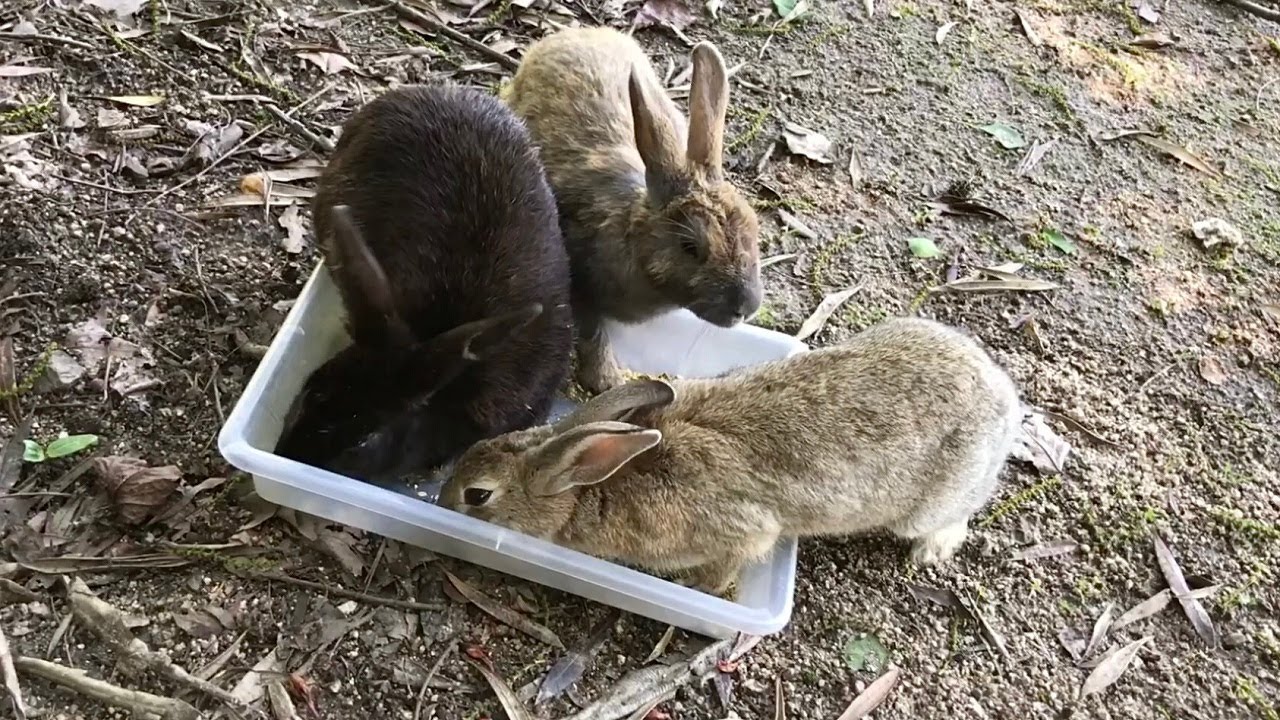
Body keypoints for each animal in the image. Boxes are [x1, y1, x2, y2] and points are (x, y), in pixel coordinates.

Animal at [438, 318, 1023, 597]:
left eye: (478, 495)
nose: (442, 502)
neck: (589, 488)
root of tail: (1004, 395)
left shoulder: (740, 533)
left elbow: (729, 565)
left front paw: (696, 588)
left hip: (935, 499)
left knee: (954, 515)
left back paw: (932, 549)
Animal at [500, 28, 763, 394]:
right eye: (690, 247)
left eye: (754, 230)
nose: (746, 307)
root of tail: (572, 34)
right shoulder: (581, 289)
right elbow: (592, 333)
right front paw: (606, 381)